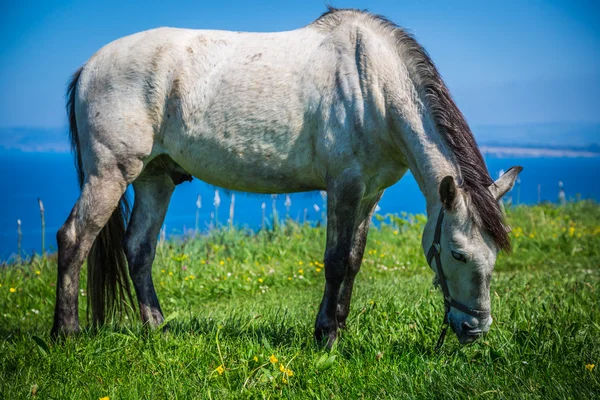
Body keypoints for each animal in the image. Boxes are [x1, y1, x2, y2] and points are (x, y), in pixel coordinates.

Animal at [51, 8, 520, 346]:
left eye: (494, 255)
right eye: (458, 253)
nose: (474, 330)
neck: (373, 86)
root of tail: (88, 67)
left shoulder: (370, 194)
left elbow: (354, 261)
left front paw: (338, 327)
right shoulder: (344, 186)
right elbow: (336, 261)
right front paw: (326, 337)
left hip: (155, 178)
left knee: (139, 249)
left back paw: (157, 328)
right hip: (109, 174)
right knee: (73, 239)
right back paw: (65, 334)